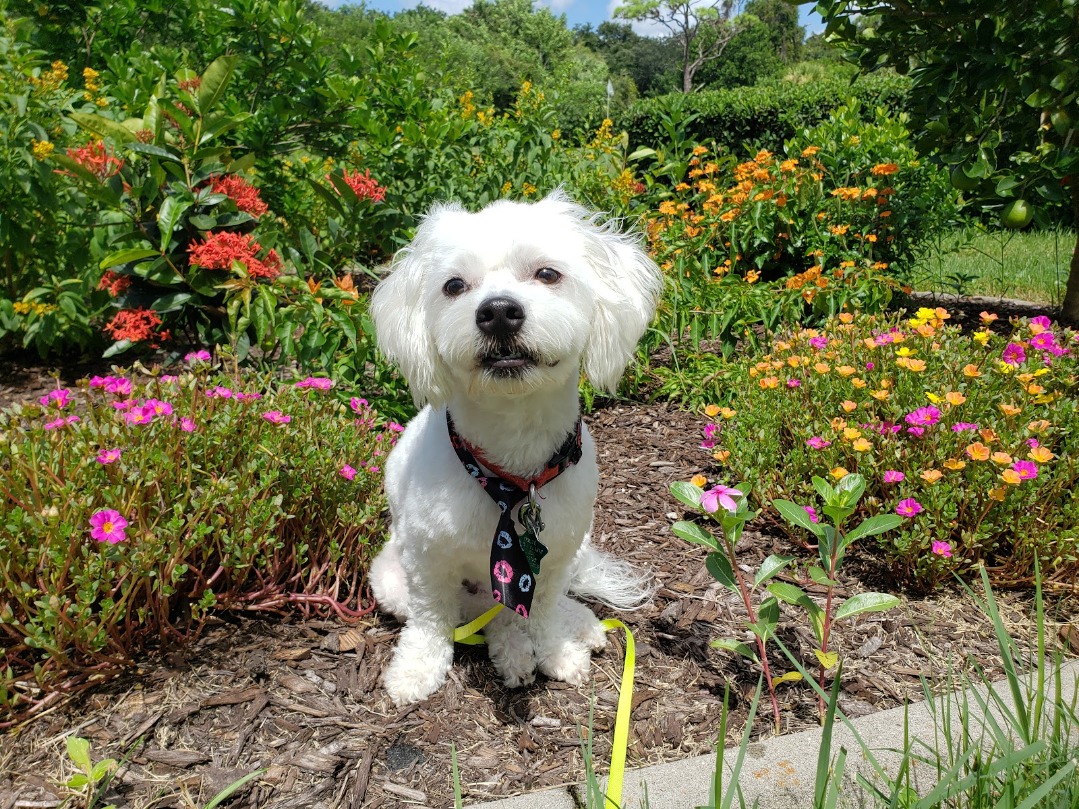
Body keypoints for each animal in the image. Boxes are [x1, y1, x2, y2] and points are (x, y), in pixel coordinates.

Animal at [368, 190, 662, 706]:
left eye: (547, 273)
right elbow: (430, 619)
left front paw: (556, 651)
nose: (499, 311)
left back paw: (571, 628)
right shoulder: (426, 557)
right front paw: (416, 670)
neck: (511, 474)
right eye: (454, 285)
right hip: (390, 577)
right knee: (480, 614)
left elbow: (541, 608)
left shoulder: (556, 553)